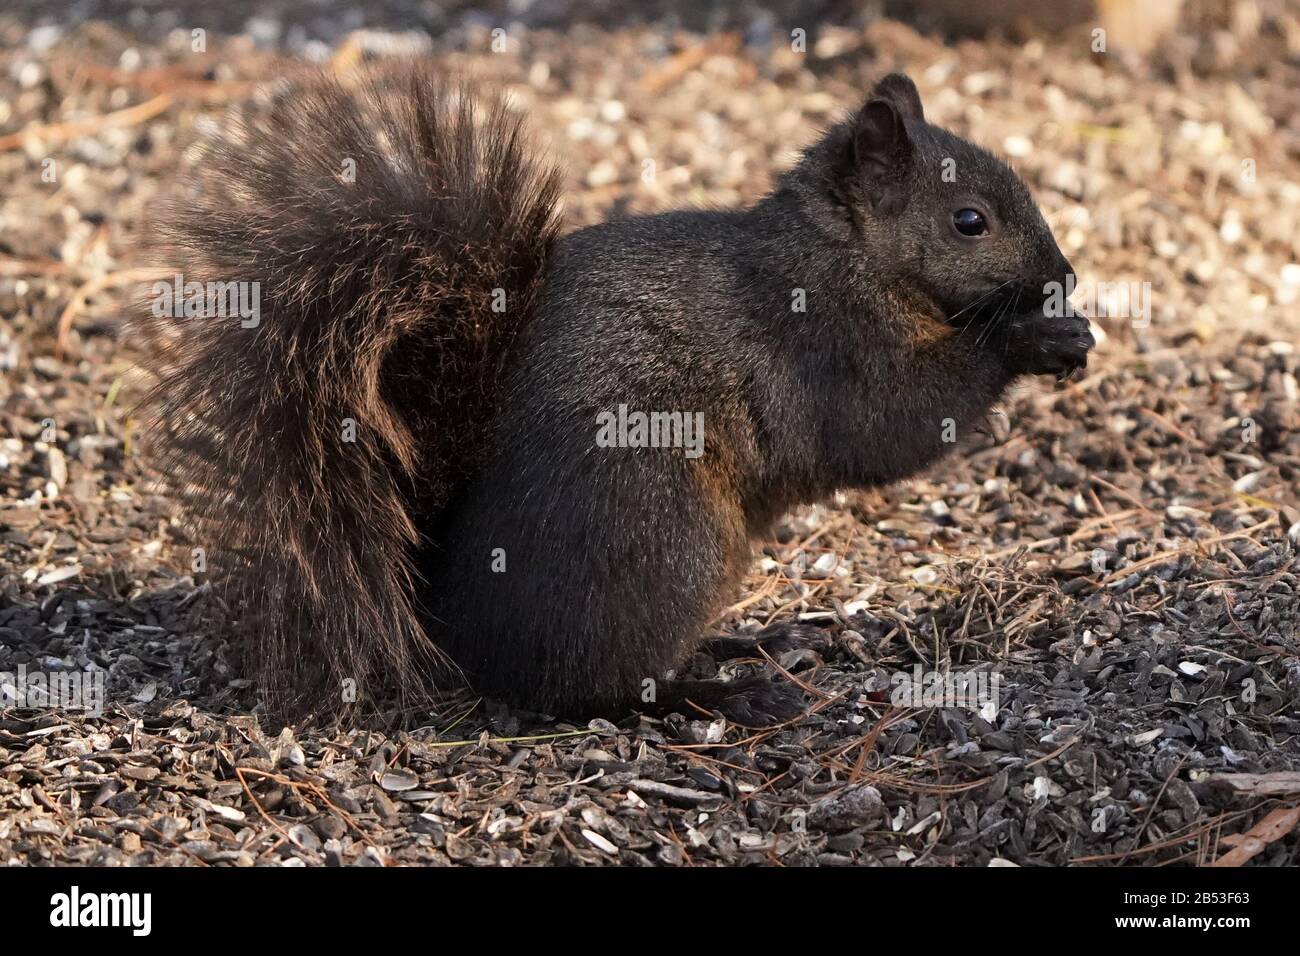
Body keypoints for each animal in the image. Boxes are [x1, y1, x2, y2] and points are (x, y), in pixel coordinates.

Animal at [137, 67, 1092, 723]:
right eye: (969, 221)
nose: (1064, 275)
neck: (843, 252)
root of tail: (449, 623)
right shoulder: (827, 342)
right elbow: (893, 423)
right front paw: (1031, 337)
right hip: (660, 533)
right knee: (602, 688)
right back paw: (725, 693)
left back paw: (762, 638)